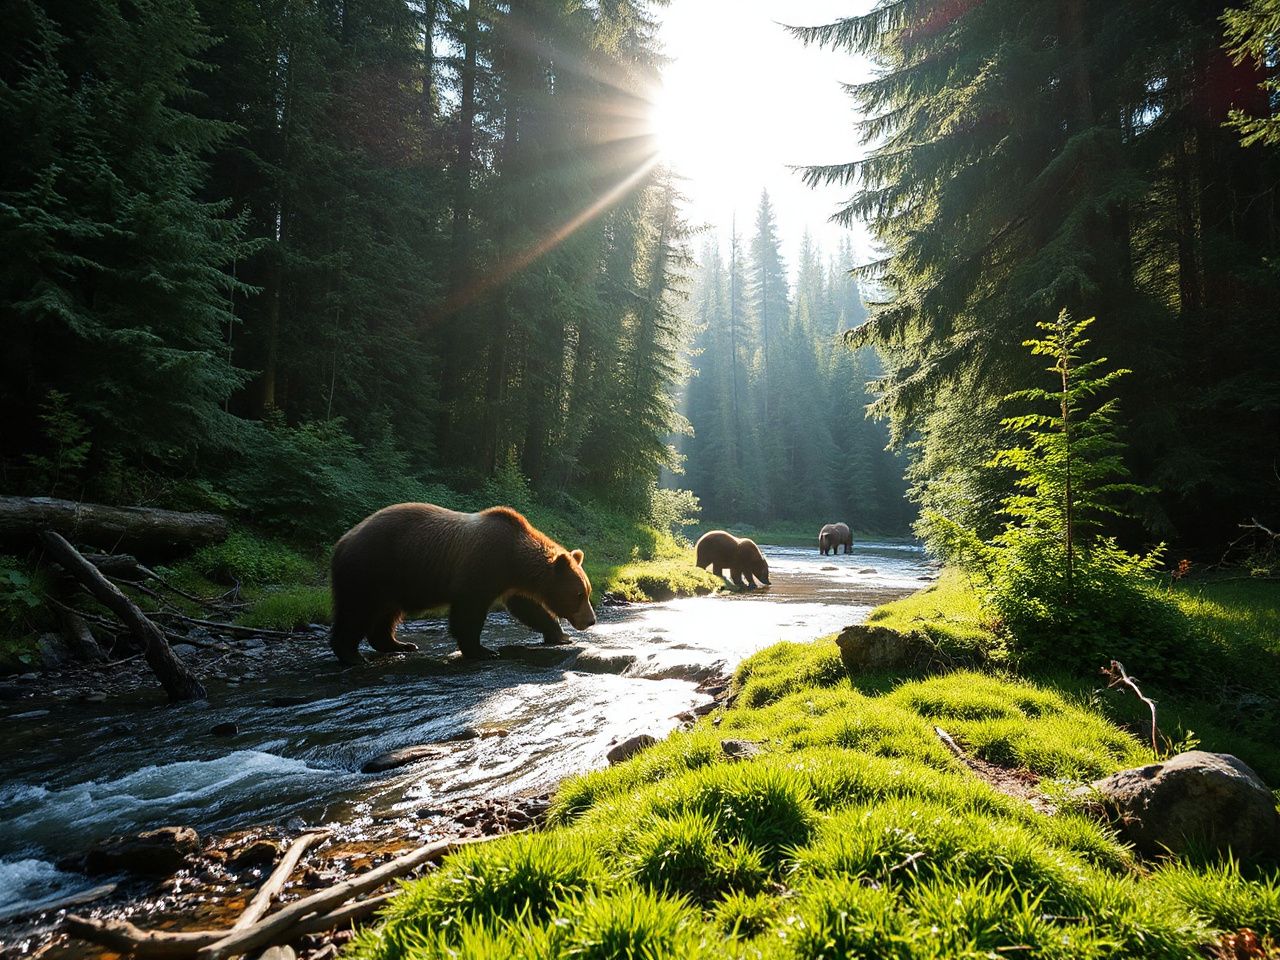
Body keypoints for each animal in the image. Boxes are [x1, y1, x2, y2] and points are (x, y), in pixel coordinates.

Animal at [328, 503, 596, 665]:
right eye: (579, 594)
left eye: (587, 591)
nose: (591, 620)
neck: (513, 561)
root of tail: (343, 541)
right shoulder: (480, 566)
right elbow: (468, 612)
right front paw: (483, 651)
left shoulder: (510, 585)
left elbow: (529, 608)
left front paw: (560, 635)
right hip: (371, 569)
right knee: (356, 612)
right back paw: (352, 655)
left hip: (391, 583)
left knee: (386, 615)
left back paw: (400, 644)